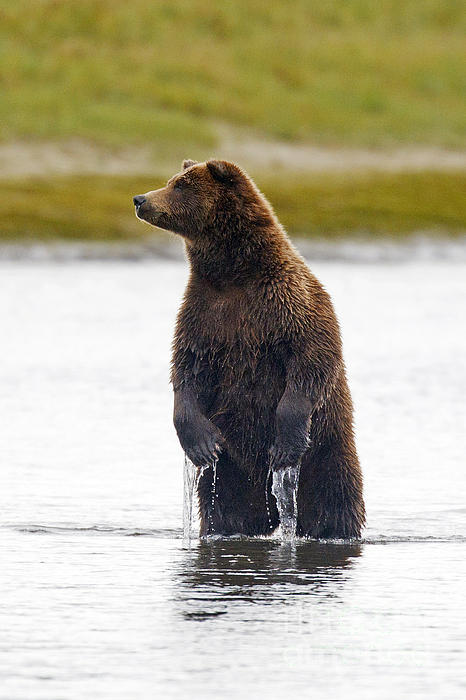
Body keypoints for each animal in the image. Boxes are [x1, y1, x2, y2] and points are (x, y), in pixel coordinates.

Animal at [133, 160, 366, 540]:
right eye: (171, 181)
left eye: (180, 185)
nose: (140, 199)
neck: (233, 273)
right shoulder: (204, 311)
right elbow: (187, 366)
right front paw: (202, 443)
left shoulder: (286, 302)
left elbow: (310, 358)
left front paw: (285, 444)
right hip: (234, 469)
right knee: (229, 509)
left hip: (328, 447)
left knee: (334, 500)